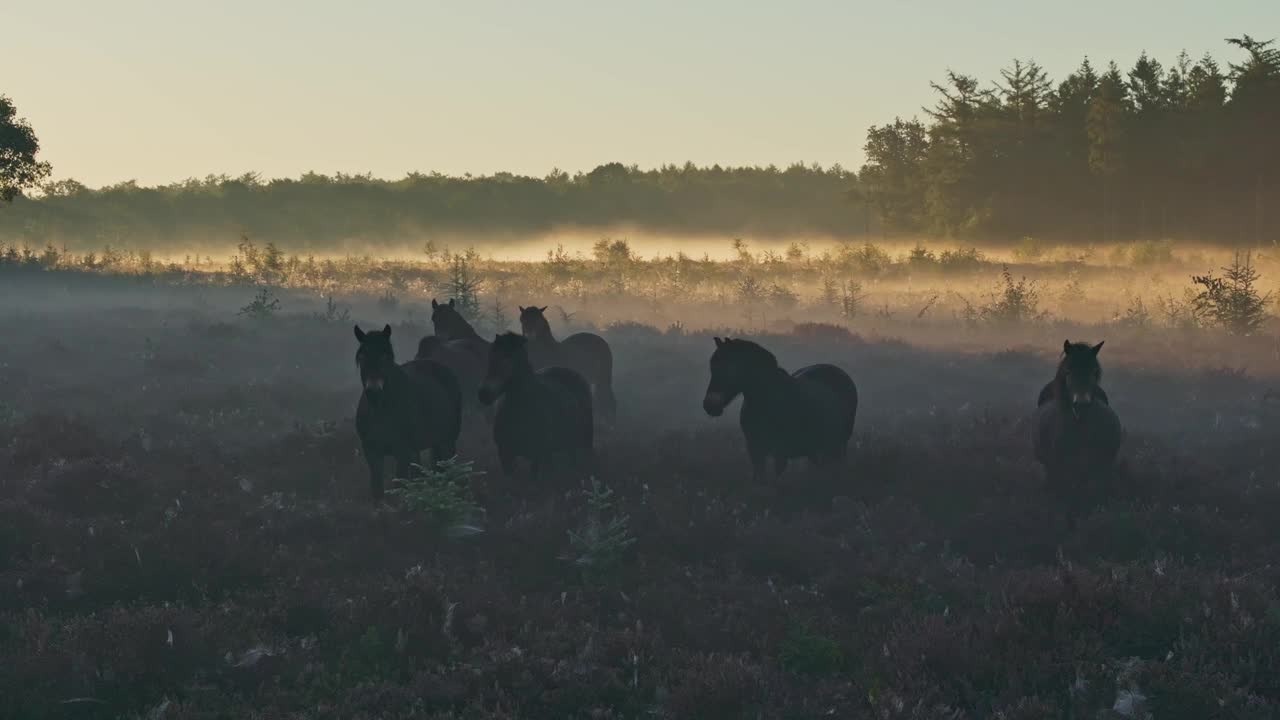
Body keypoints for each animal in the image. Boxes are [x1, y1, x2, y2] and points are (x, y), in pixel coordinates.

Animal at [353, 324, 463, 499]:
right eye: (361, 357)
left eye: (386, 357)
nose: (373, 391)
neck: (380, 411)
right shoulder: (372, 452)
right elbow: (377, 490)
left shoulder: (402, 451)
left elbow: (399, 486)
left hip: (448, 440)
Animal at [481, 333, 593, 481]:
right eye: (491, 356)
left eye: (509, 358)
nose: (484, 394)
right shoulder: (505, 455)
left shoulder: (537, 455)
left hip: (582, 440)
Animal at [701, 335, 860, 481]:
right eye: (712, 366)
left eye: (731, 368)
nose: (710, 405)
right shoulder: (755, 451)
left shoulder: (780, 452)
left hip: (838, 444)